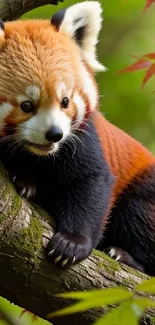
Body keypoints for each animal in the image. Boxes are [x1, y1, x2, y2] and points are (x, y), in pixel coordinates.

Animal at [0, 1, 154, 274]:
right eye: (27, 105)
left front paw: (72, 242)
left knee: (138, 213)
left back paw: (125, 256)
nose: (54, 134)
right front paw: (23, 179)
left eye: (65, 101)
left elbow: (92, 181)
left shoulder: (83, 137)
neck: (37, 155)